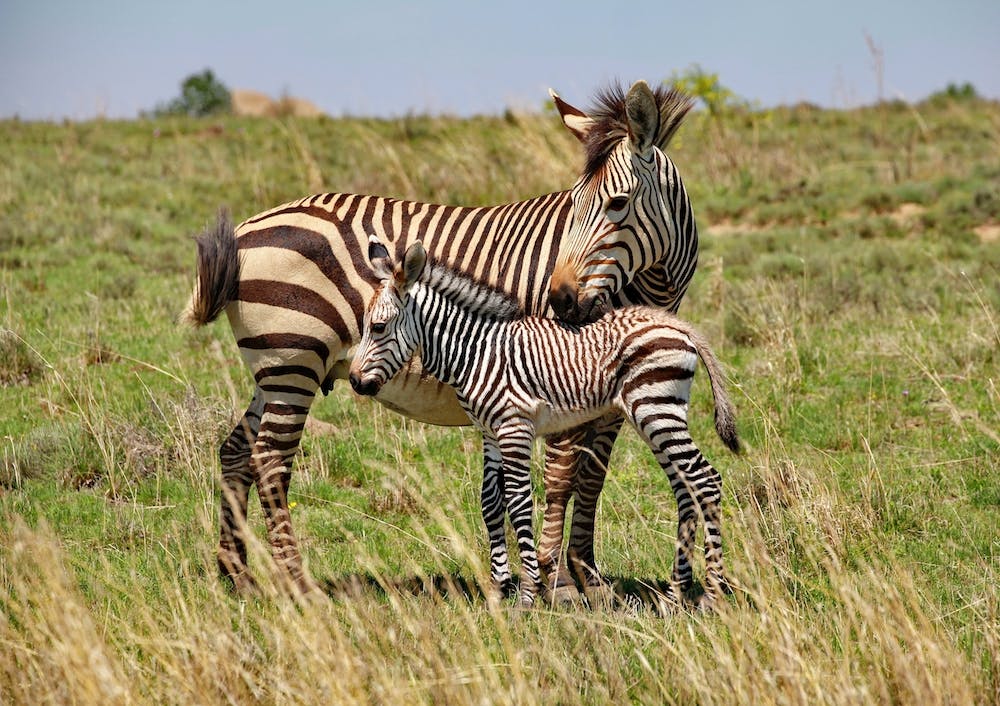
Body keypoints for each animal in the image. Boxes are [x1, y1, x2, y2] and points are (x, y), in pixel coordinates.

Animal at [183, 80, 699, 598]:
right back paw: (297, 583)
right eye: (572, 205)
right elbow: (560, 474)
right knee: (270, 460)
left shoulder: (615, 393)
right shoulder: (561, 377)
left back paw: (237, 575)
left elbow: (591, 475)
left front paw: (587, 574)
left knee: (236, 452)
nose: (561, 302)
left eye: (617, 203)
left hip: (272, 371)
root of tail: (246, 228)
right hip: (295, 361)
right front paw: (559, 581)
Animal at [350, 237, 739, 607]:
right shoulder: (489, 431)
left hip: (656, 409)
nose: (354, 381)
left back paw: (712, 595)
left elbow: (520, 502)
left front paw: (527, 595)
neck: (476, 351)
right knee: (685, 488)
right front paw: (498, 589)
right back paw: (675, 595)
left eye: (378, 327)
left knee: (705, 480)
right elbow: (491, 500)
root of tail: (679, 325)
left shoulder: (514, 427)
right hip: (656, 415)